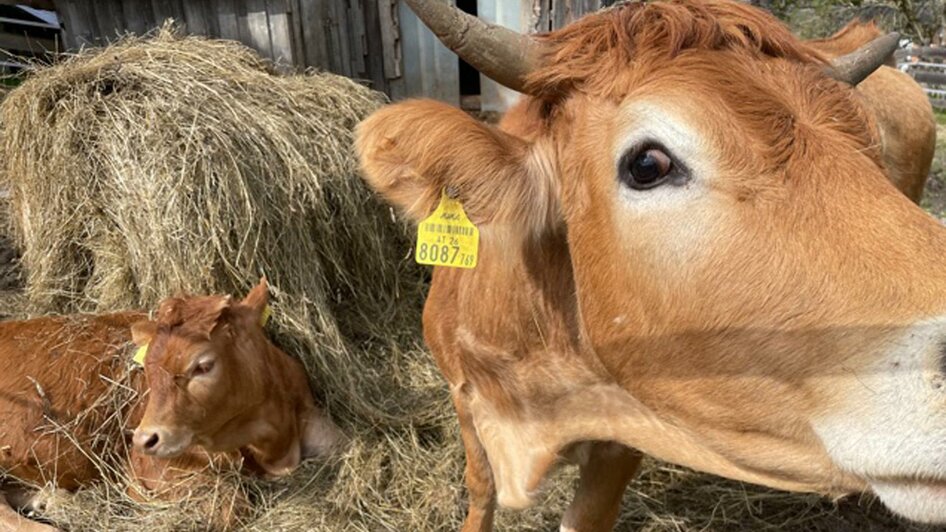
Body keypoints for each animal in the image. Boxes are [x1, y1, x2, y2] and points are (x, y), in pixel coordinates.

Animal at [0, 280, 340, 528]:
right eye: (148, 369)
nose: (142, 438)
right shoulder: (154, 467)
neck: (272, 448)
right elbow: (231, 506)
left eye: (203, 365)